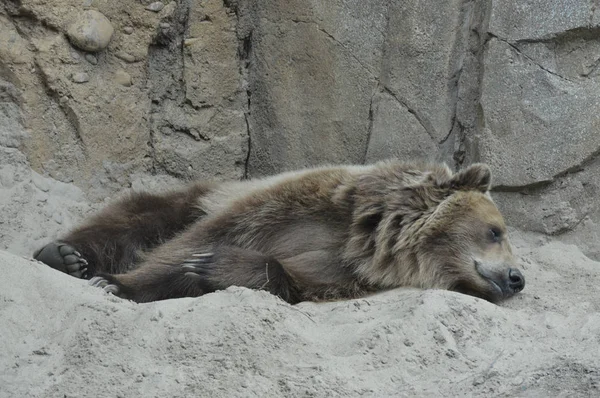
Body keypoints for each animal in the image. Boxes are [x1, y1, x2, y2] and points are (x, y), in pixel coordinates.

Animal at [32, 160, 524, 304]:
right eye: (495, 231)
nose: (518, 277)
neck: (367, 237)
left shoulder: (343, 275)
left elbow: (290, 281)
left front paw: (209, 268)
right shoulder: (299, 203)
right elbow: (194, 240)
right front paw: (117, 283)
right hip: (196, 197)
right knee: (137, 218)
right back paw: (65, 256)